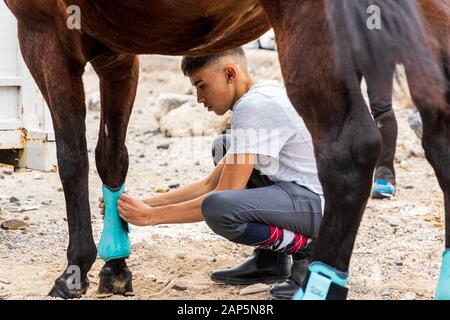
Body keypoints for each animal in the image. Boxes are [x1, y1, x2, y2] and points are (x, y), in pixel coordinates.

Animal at [4, 0, 450, 300]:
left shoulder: (44, 33)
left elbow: (72, 158)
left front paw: (75, 268)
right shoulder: (115, 50)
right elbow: (112, 156)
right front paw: (116, 262)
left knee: (349, 150)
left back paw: (318, 285)